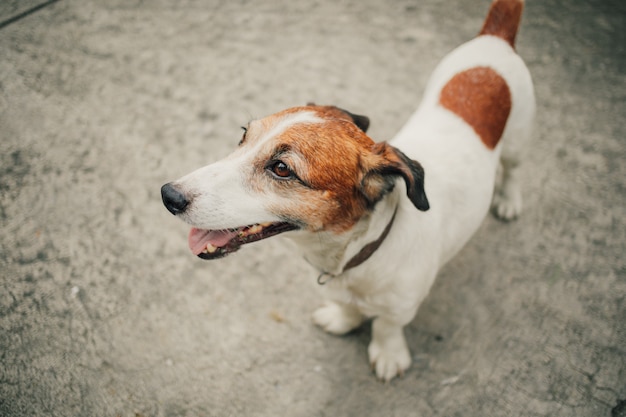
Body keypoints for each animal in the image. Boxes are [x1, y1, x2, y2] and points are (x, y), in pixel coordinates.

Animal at [160, 0, 532, 380]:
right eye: (243, 136)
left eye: (281, 168)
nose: (168, 195)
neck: (358, 250)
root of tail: (495, 39)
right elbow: (349, 308)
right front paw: (343, 319)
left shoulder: (401, 307)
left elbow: (386, 326)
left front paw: (388, 353)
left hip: (518, 142)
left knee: (514, 169)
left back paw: (508, 200)